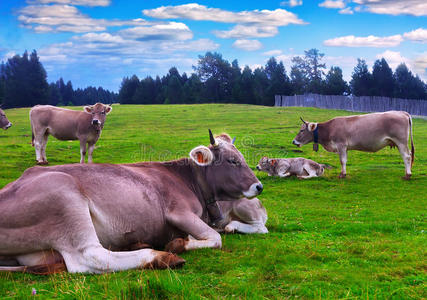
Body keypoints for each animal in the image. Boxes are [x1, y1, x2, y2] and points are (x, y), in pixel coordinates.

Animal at [0, 130, 264, 274]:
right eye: (232, 161)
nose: (259, 186)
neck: (187, 178)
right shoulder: (178, 212)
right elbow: (216, 238)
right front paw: (179, 243)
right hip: (65, 197)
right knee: (88, 257)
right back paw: (160, 257)